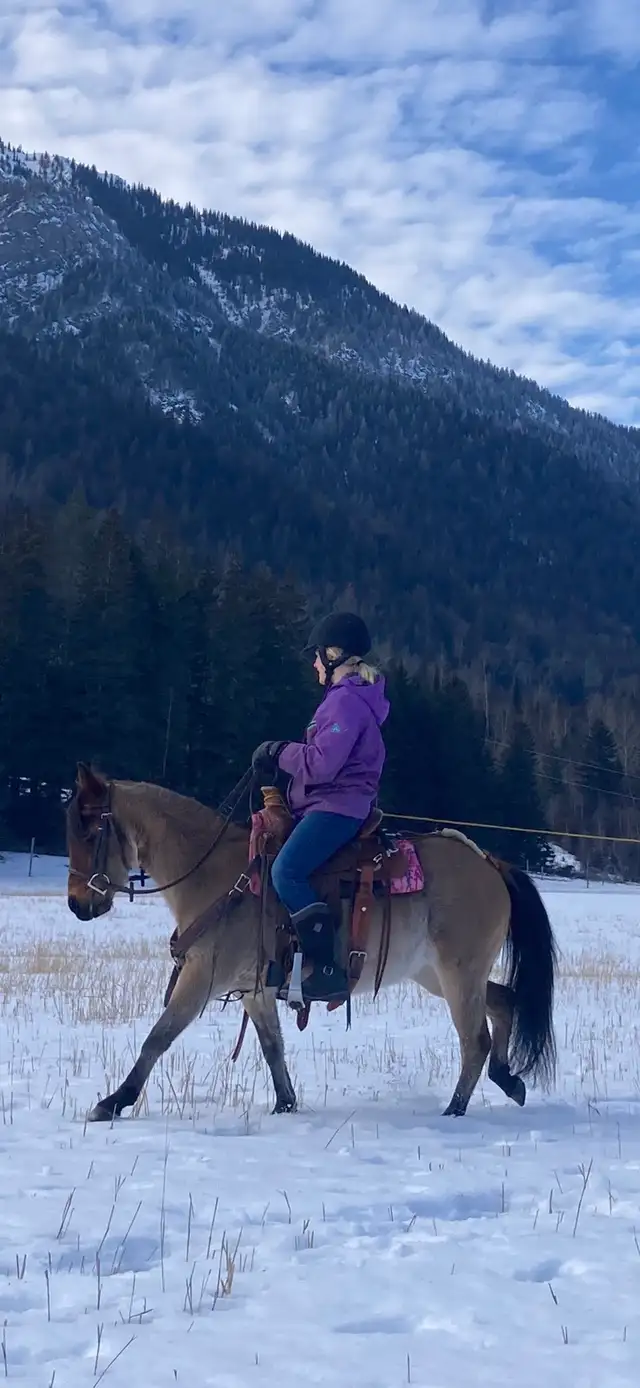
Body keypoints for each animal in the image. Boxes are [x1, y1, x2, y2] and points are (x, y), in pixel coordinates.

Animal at [65, 763, 557, 1123]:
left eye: (89, 833)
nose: (77, 904)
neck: (216, 876)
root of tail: (489, 862)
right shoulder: (254, 989)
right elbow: (272, 1047)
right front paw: (286, 1104)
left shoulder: (203, 976)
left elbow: (158, 1037)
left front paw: (113, 1101)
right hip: (435, 974)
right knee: (504, 1001)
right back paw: (508, 1079)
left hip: (458, 973)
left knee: (474, 1039)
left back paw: (455, 1109)